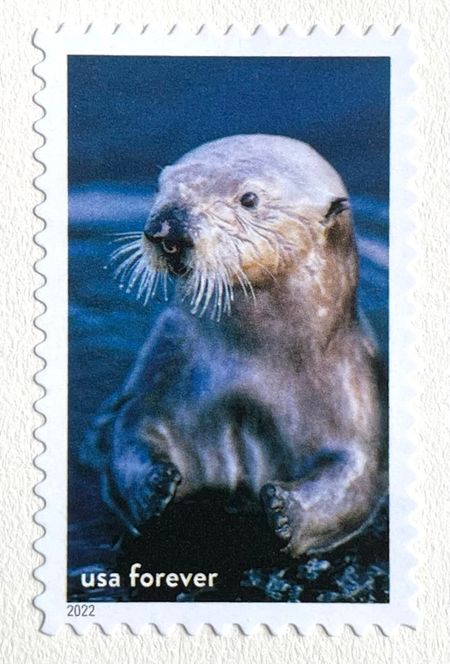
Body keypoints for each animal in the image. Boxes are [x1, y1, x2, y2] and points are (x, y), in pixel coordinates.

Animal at [86, 134, 386, 557]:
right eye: (162, 185)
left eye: (249, 199)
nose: (168, 227)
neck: (250, 375)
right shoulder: (165, 362)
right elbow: (130, 428)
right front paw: (155, 486)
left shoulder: (352, 391)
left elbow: (355, 478)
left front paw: (283, 509)